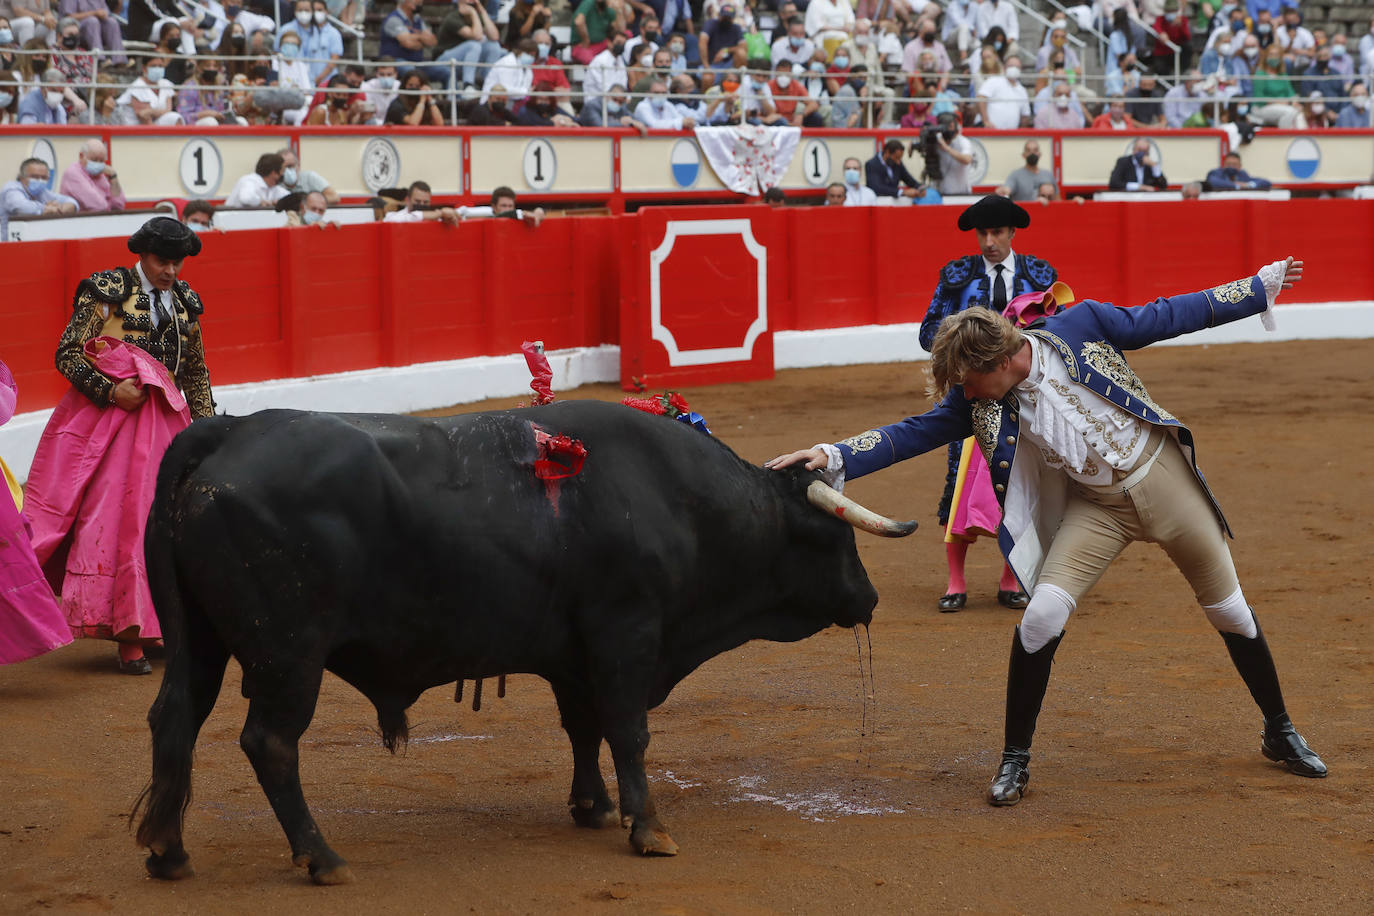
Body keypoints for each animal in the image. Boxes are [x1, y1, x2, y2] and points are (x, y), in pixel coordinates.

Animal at [133, 403, 917, 889]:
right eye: (835, 538)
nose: (869, 598)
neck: (680, 501)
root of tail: (228, 431)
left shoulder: (576, 654)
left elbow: (584, 728)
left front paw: (593, 807)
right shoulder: (626, 632)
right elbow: (628, 730)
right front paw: (648, 827)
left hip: (201, 645)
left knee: (175, 720)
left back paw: (169, 852)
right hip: (288, 654)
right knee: (270, 742)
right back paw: (322, 857)